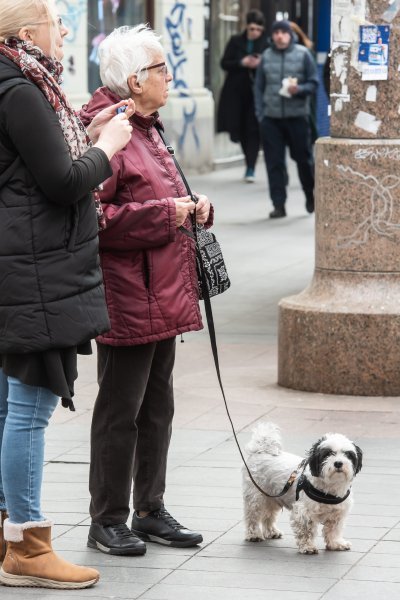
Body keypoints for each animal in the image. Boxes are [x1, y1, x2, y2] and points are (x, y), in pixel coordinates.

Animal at [242, 422, 364, 552]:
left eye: (348, 454)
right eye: (327, 454)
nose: (338, 463)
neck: (330, 487)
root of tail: (261, 450)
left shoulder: (337, 513)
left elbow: (334, 530)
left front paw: (336, 543)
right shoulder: (304, 512)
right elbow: (306, 530)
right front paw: (308, 546)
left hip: (272, 497)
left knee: (268, 514)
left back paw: (271, 531)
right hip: (256, 497)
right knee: (252, 516)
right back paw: (253, 534)